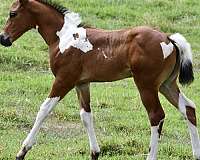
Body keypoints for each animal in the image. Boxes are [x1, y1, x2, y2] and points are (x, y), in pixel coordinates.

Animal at [0, 0, 200, 160]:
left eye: (13, 13)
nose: (3, 39)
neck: (64, 38)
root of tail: (168, 38)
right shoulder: (81, 83)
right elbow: (86, 115)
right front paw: (95, 153)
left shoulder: (64, 80)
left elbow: (44, 109)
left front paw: (22, 151)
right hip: (166, 85)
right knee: (188, 108)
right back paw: (196, 154)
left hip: (146, 85)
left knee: (156, 115)